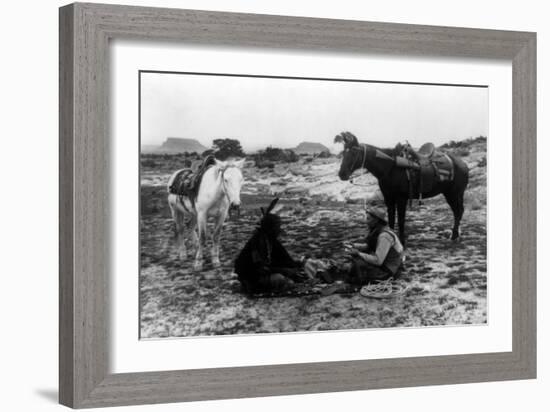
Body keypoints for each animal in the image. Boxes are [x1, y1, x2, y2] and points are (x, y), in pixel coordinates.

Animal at [336, 130, 470, 243]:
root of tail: (463, 164)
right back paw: (455, 235)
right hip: (452, 194)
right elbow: (390, 218)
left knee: (458, 211)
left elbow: (400, 220)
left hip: (454, 194)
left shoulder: (401, 198)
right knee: (458, 211)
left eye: (354, 152)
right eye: (343, 153)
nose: (342, 174)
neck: (391, 167)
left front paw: (402, 241)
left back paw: (454, 236)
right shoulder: (389, 198)